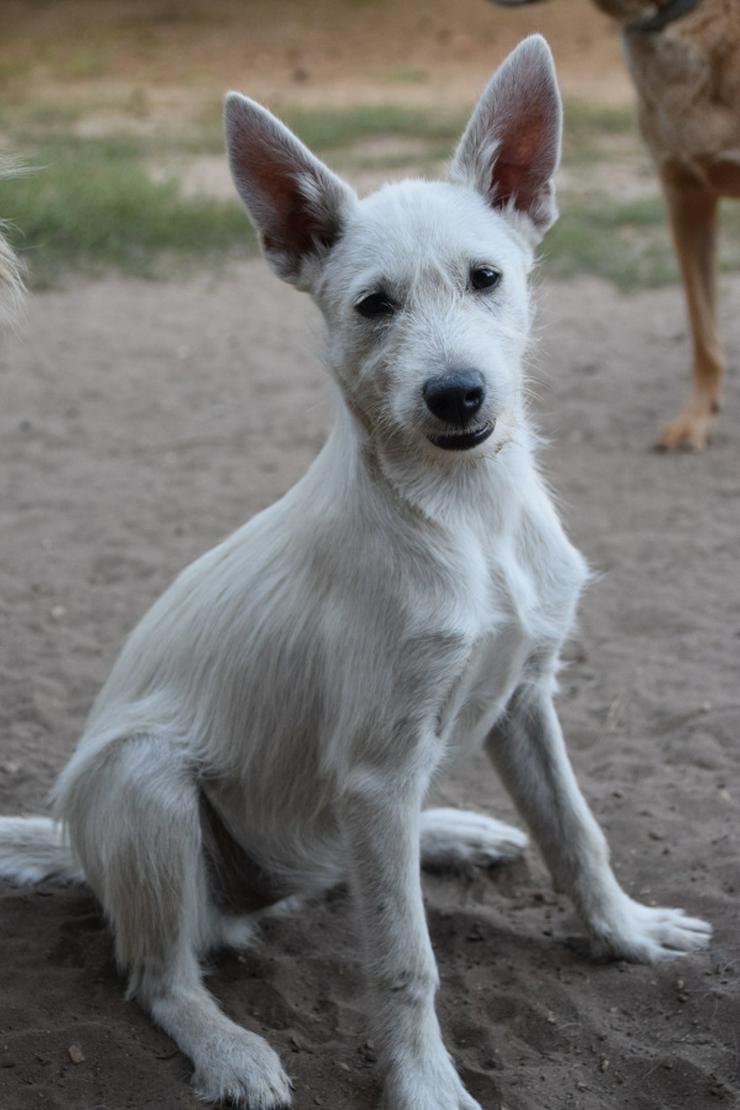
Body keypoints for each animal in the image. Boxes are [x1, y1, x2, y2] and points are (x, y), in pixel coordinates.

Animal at [0, 36, 710, 1110]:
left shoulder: (523, 693)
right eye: (374, 305)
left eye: (487, 278)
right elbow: (405, 958)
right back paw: (232, 1049)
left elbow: (576, 833)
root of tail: (75, 845)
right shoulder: (377, 766)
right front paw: (424, 1083)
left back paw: (452, 831)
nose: (458, 395)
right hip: (146, 783)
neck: (467, 515)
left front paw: (624, 933)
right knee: (159, 975)